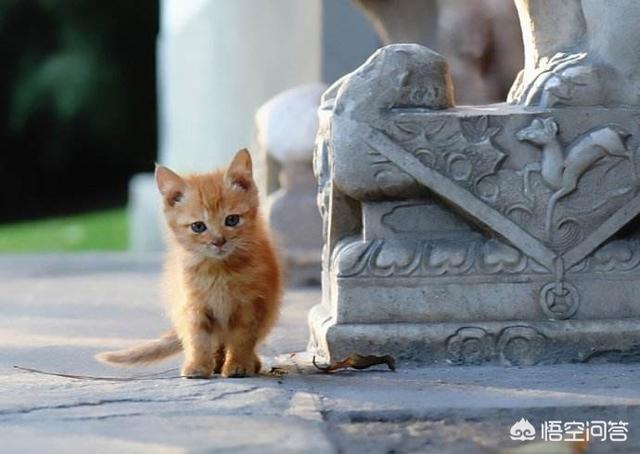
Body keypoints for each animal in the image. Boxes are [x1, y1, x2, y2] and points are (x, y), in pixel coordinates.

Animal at [96, 151, 282, 378]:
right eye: (198, 226)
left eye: (232, 220)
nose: (218, 241)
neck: (219, 271)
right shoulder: (192, 305)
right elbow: (198, 338)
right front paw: (198, 365)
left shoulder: (251, 305)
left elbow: (242, 339)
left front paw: (238, 363)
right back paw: (216, 362)